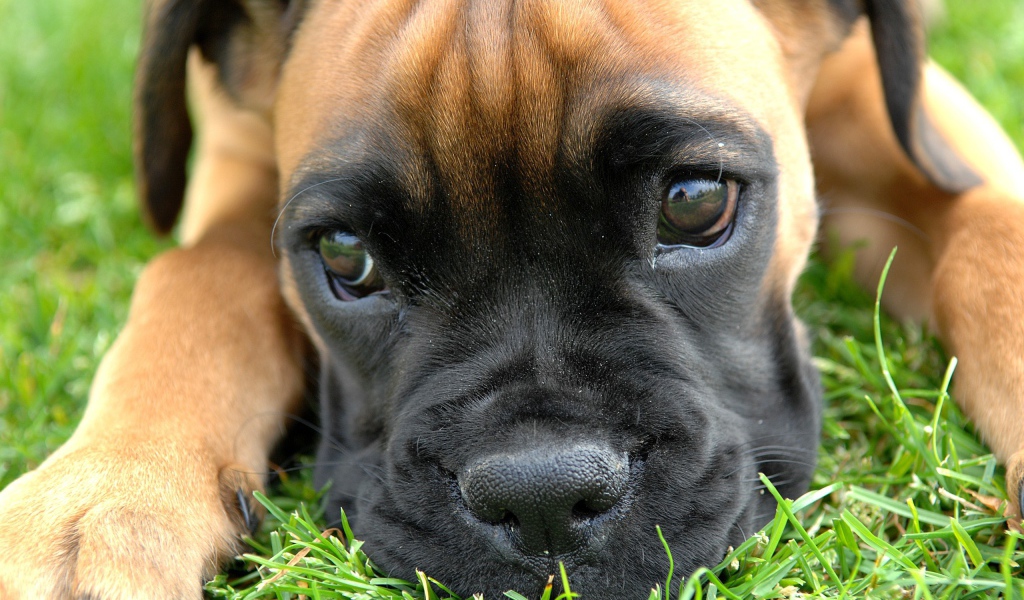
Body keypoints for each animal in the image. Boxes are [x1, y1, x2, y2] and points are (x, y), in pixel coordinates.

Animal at [1, 0, 1022, 598]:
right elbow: (195, 279)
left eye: (696, 202)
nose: (543, 499)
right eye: (346, 258)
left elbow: (992, 231)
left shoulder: (895, 111)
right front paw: (110, 494)